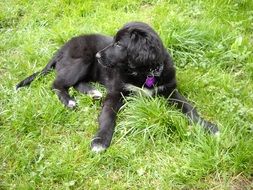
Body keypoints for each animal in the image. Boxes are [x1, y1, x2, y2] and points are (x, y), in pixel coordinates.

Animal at [16, 21, 218, 152]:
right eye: (113, 41)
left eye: (120, 44)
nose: (98, 55)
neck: (145, 73)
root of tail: (62, 48)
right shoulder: (115, 93)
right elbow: (108, 117)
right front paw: (100, 140)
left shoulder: (170, 90)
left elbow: (189, 108)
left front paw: (207, 126)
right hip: (80, 61)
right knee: (57, 84)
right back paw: (70, 101)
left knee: (76, 83)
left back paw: (93, 92)